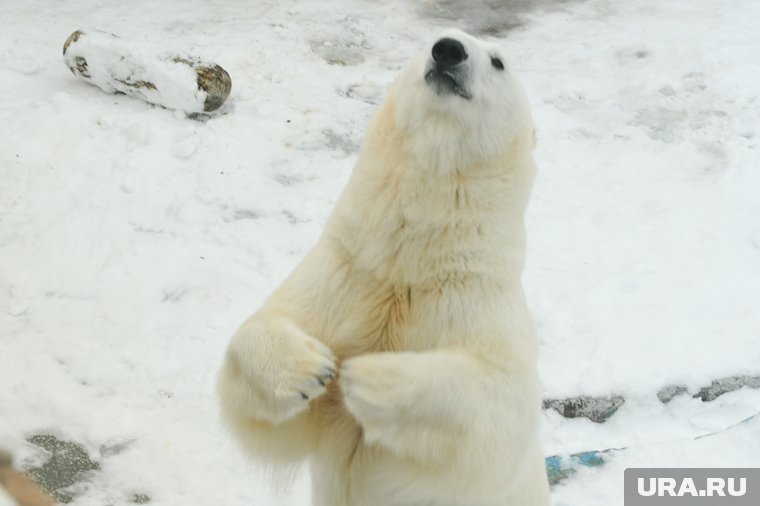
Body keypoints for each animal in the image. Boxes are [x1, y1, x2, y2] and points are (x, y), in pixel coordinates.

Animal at [217, 28, 548, 506]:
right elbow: (255, 364)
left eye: (499, 61)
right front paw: (311, 369)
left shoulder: (474, 296)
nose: (448, 50)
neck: (409, 268)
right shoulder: (347, 270)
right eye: (433, 42)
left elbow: (502, 407)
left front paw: (366, 377)